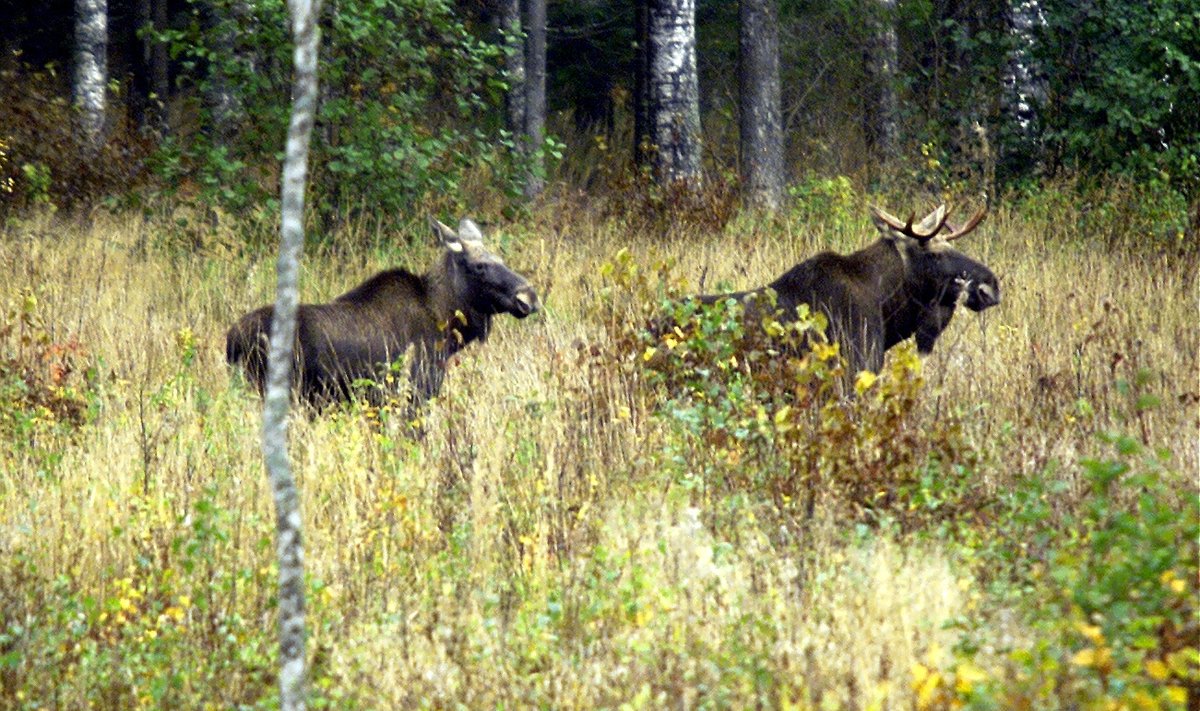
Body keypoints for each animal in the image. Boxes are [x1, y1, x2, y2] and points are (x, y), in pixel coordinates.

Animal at [224, 218, 540, 410]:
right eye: (479, 266)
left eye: (500, 258)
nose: (529, 297)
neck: (447, 326)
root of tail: (231, 340)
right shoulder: (415, 391)